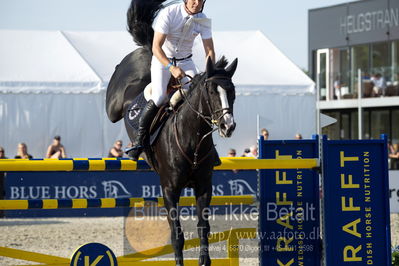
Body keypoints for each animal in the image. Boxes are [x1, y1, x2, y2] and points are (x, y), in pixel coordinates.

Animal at [105, 1, 238, 264]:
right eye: (210, 91)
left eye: (233, 93)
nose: (228, 126)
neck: (192, 139)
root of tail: (146, 51)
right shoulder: (169, 189)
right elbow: (177, 235)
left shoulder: (204, 187)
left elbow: (203, 228)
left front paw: (204, 260)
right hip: (114, 105)